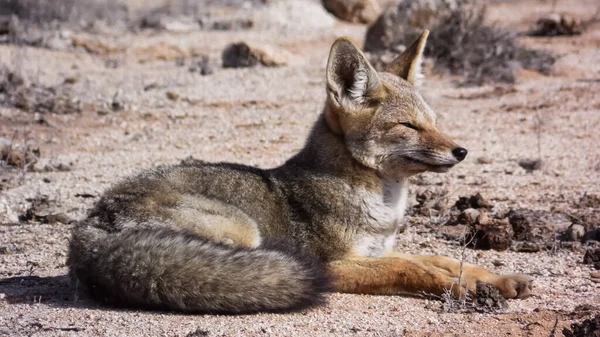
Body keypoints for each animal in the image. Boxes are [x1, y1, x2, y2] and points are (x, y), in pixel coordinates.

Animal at [68, 30, 532, 314]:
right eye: (409, 126)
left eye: (434, 121)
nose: (461, 151)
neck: (381, 205)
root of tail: (90, 225)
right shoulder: (339, 263)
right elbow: (415, 269)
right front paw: (463, 288)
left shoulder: (375, 251)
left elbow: (442, 258)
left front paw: (495, 279)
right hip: (244, 230)